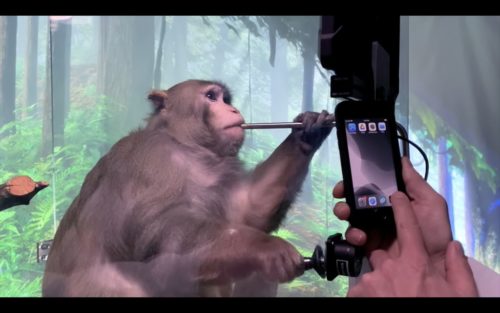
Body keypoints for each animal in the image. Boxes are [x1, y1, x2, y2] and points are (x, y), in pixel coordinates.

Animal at [42, 79, 332, 296]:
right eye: (212, 96)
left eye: (226, 99)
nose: (234, 111)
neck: (184, 146)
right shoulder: (154, 162)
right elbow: (162, 234)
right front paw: (266, 248)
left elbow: (249, 210)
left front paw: (307, 132)